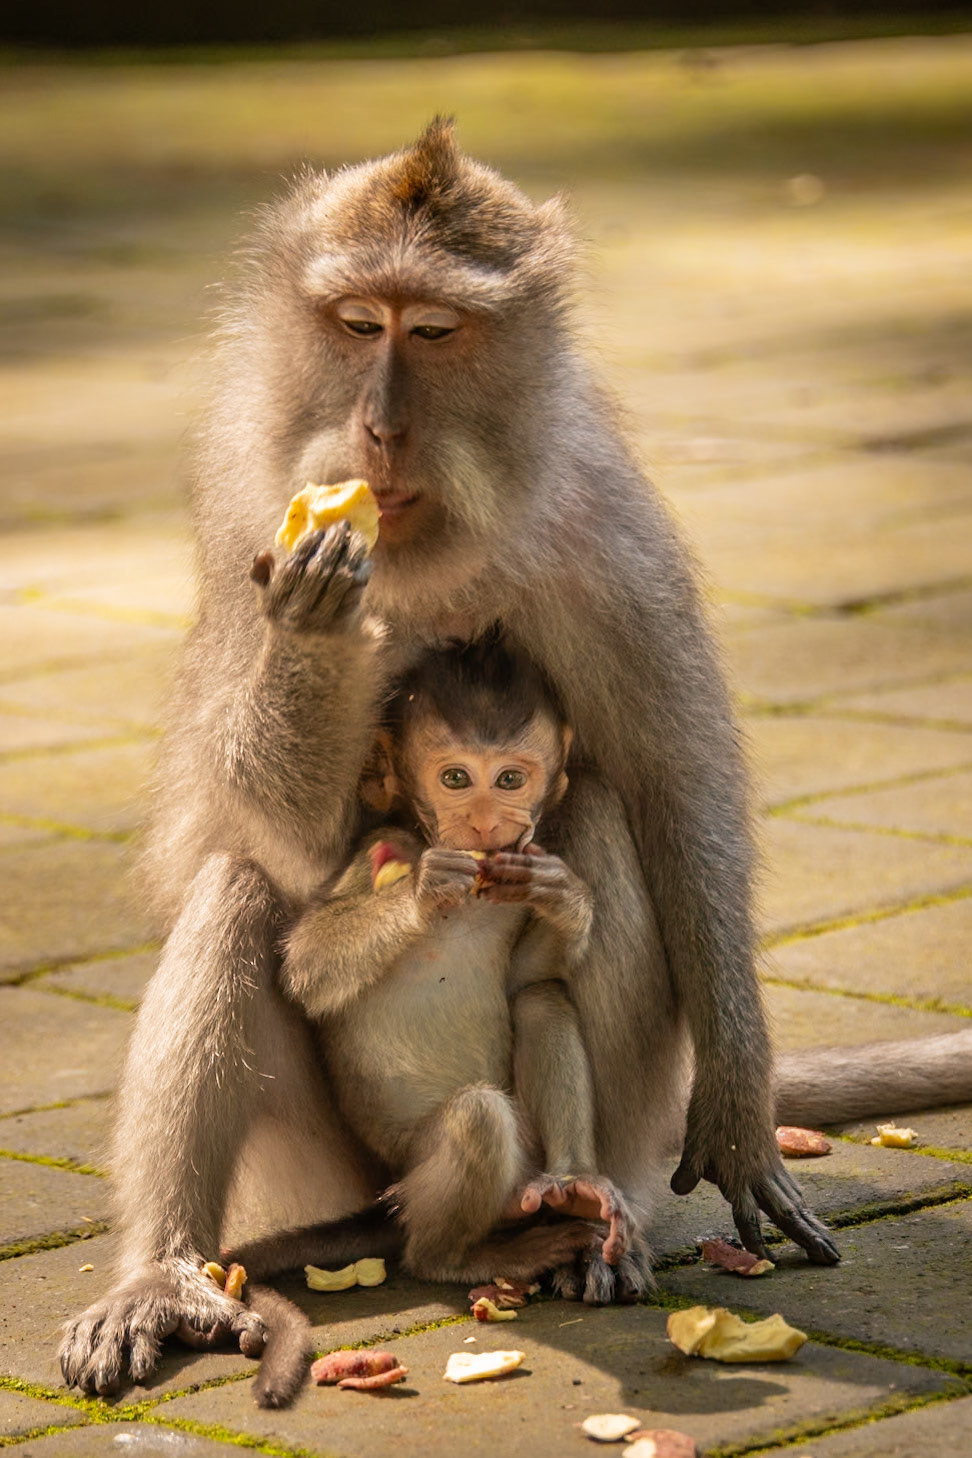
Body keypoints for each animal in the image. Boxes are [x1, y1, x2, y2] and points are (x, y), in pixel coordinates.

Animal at [60, 120, 972, 1407]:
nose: (379, 428)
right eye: (358, 324)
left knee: (602, 826)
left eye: (435, 331)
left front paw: (742, 1105)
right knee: (241, 892)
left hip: (617, 1125)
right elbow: (280, 838)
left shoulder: (607, 535)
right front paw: (316, 627)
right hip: (320, 1167)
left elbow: (679, 787)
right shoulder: (248, 515)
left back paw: (582, 1226)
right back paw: (168, 1272)